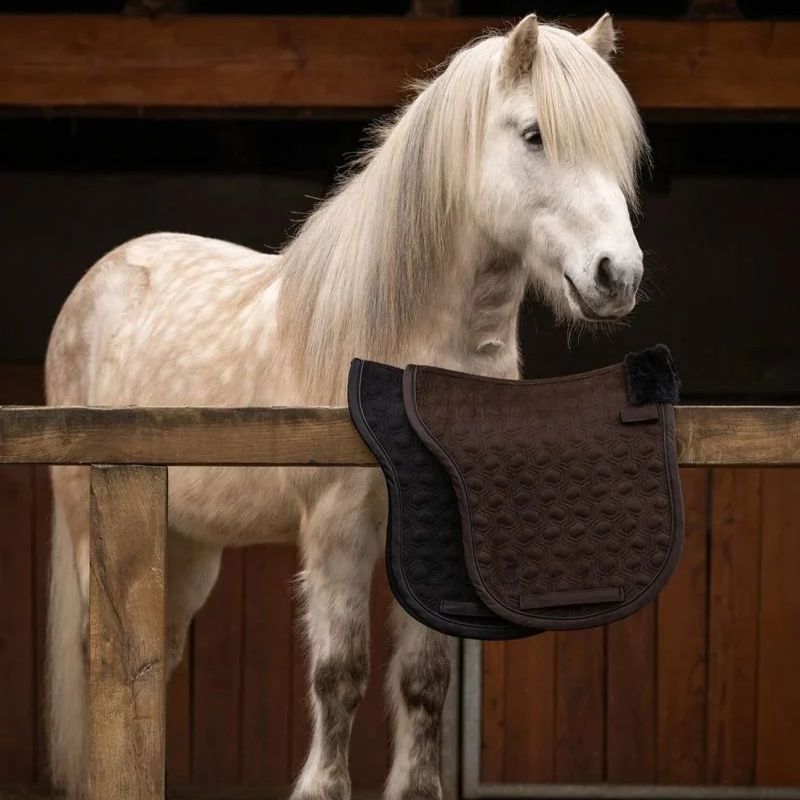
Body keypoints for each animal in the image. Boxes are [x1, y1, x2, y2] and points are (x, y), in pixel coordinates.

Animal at [45, 13, 648, 799]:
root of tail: (101, 278)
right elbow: (340, 674)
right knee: (105, 661)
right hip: (95, 528)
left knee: (158, 653)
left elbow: (425, 678)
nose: (618, 275)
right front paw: (321, 787)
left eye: (619, 148)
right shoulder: (339, 528)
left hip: (186, 544)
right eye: (533, 134)